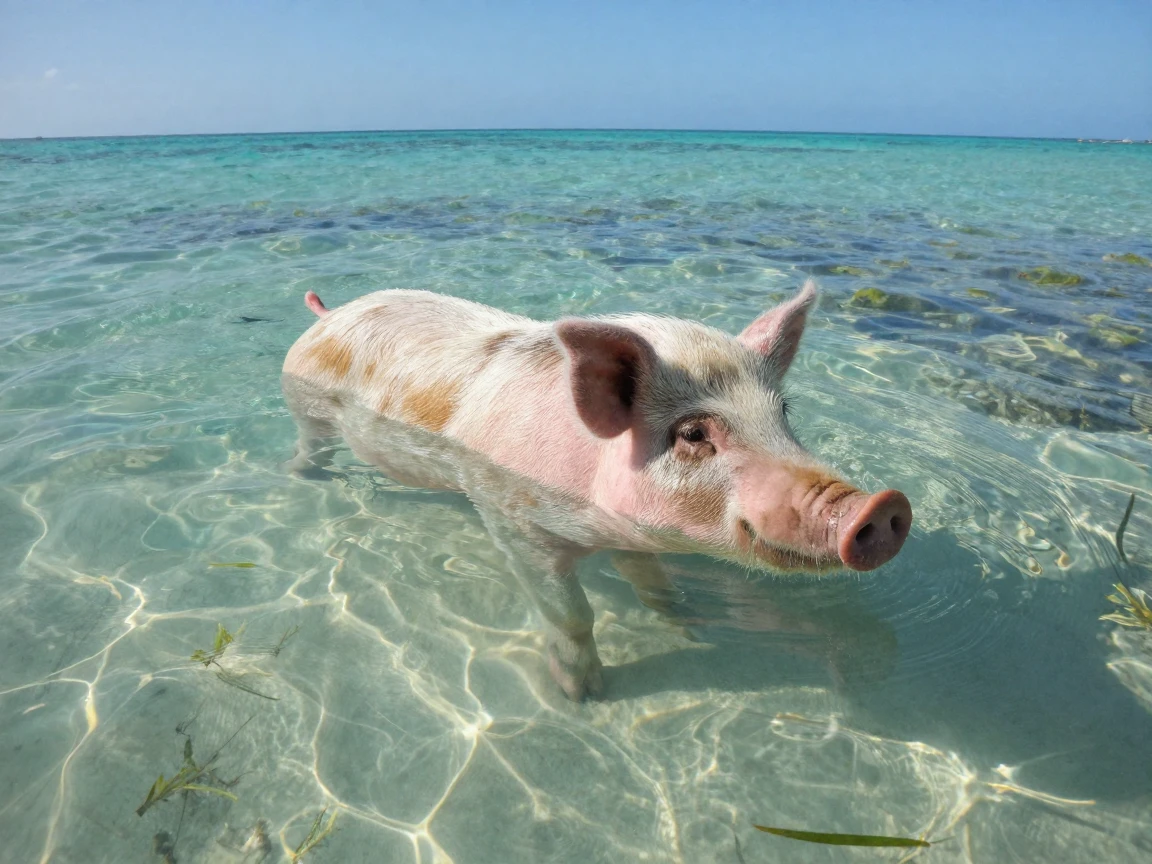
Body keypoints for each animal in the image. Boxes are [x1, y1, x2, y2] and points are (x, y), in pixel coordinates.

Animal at [281, 280, 912, 700]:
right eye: (693, 434)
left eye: (783, 413)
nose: (882, 505)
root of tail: (330, 313)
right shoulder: (514, 518)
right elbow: (571, 614)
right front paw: (582, 695)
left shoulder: (630, 535)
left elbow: (650, 580)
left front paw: (688, 618)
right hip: (307, 406)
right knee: (309, 445)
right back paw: (310, 479)